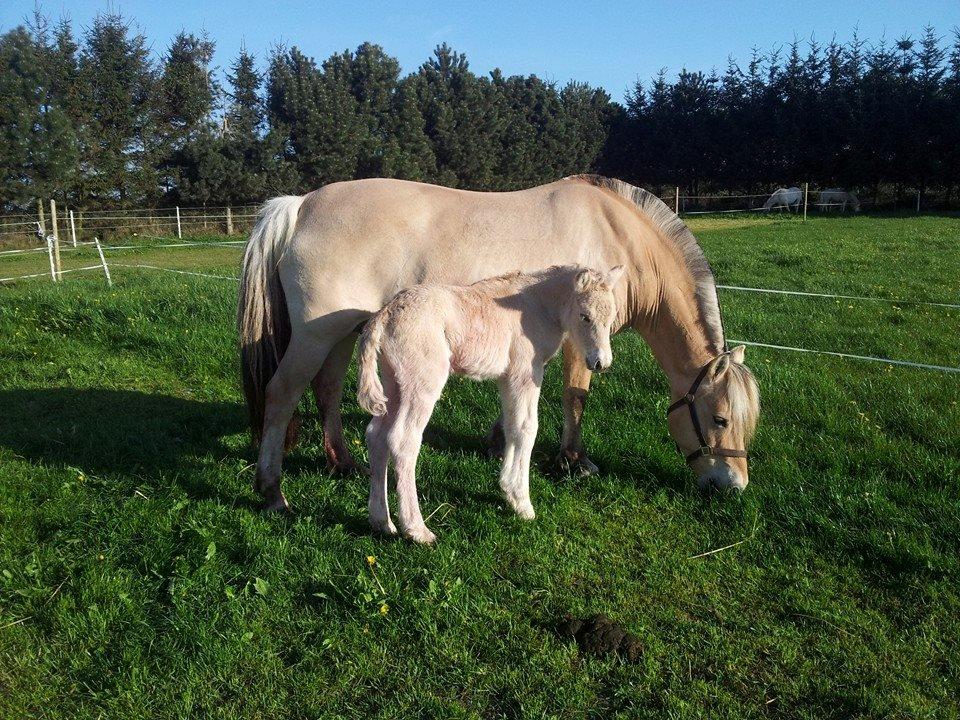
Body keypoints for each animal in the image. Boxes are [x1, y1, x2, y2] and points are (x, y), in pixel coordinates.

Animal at [238, 174, 756, 512]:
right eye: (720, 418)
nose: (733, 486)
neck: (618, 236)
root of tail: (301, 205)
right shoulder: (580, 344)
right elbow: (575, 397)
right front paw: (573, 460)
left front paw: (497, 444)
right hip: (314, 337)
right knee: (281, 395)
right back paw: (272, 491)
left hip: (344, 333)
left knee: (326, 390)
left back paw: (343, 462)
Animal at [354, 268, 624, 544]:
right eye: (585, 316)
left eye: (612, 316)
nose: (601, 362)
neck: (539, 306)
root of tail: (384, 316)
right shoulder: (525, 371)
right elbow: (527, 429)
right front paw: (523, 503)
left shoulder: (507, 376)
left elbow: (512, 426)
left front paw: (508, 491)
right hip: (422, 380)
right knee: (403, 440)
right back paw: (417, 529)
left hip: (393, 381)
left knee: (376, 435)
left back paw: (381, 521)